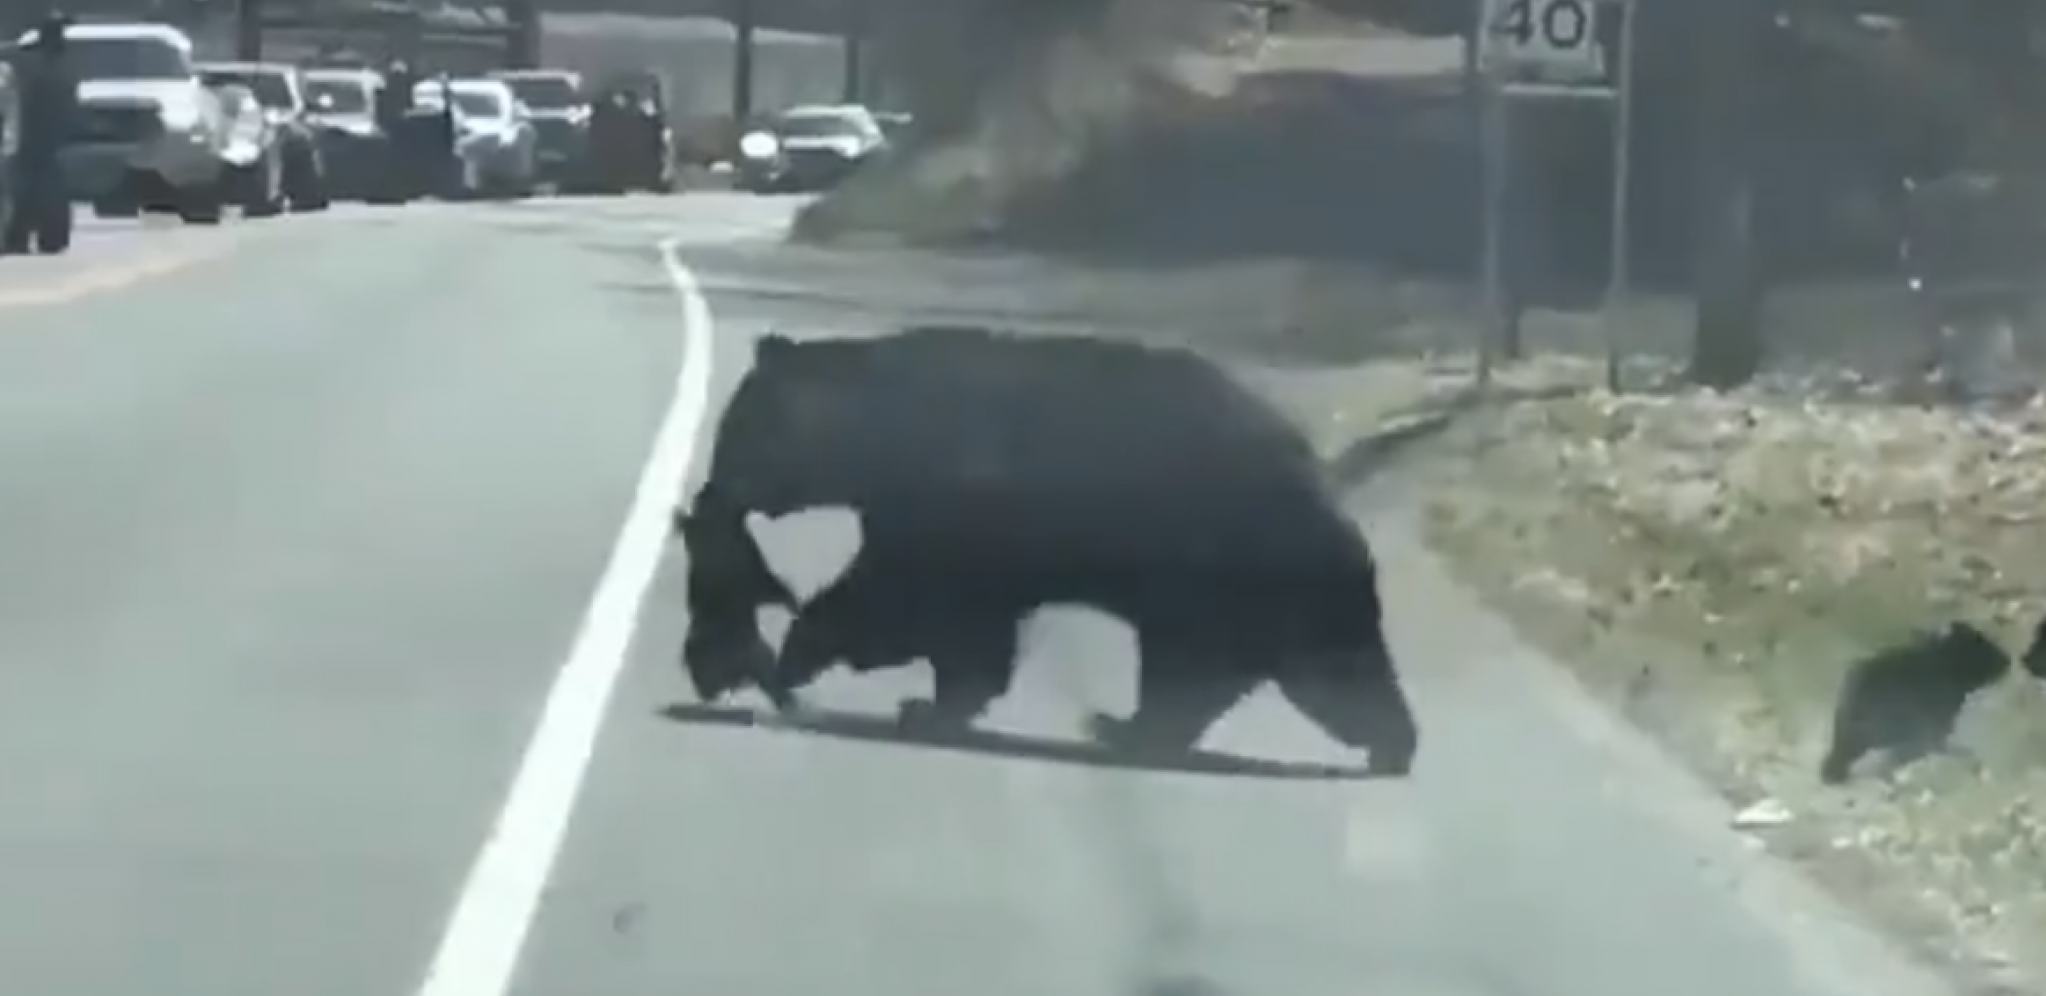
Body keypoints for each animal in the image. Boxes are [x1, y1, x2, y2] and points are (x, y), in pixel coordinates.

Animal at [679, 327, 1415, 781]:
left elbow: (908, 594)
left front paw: (807, 652)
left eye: (733, 432)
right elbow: (955, 621)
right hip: (1265, 592)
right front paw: (931, 702)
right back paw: (1389, 740)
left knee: (1214, 663)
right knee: (1318, 669)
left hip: (1223, 564)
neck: (876, 427)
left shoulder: (951, 499)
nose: (708, 494)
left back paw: (1123, 726)